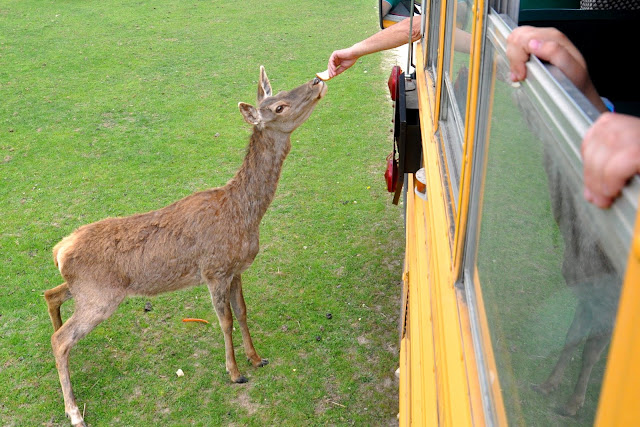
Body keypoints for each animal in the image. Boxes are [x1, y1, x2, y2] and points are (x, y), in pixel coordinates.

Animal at [42, 65, 328, 426]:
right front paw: (235, 373)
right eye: (278, 107)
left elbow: (243, 312)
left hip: (87, 290)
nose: (317, 81)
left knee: (51, 296)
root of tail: (60, 250)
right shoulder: (214, 270)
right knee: (60, 339)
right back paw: (74, 411)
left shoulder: (236, 269)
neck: (245, 214)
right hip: (100, 297)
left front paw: (257, 358)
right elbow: (225, 320)